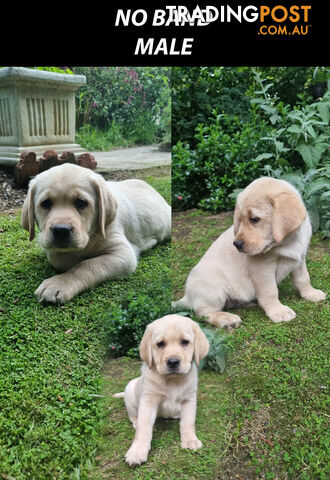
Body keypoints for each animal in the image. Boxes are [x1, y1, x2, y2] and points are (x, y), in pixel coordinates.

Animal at [21, 163, 170, 302]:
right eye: (45, 203)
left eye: (81, 202)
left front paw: (59, 283)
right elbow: (58, 259)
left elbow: (87, 265)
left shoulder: (122, 253)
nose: (61, 230)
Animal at [113, 314, 210, 466]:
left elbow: (188, 422)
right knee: (133, 415)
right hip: (130, 394)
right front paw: (137, 451)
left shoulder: (189, 399)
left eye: (185, 342)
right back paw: (135, 421)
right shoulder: (148, 401)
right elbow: (144, 428)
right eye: (160, 344)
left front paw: (190, 440)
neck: (172, 381)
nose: (173, 362)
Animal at [174, 178, 326, 328]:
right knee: (203, 312)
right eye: (239, 220)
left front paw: (311, 293)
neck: (286, 243)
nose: (236, 244)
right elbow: (270, 292)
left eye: (254, 219)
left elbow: (304, 279)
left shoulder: (299, 260)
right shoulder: (262, 270)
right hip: (212, 285)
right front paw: (278, 311)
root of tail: (187, 297)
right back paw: (227, 319)